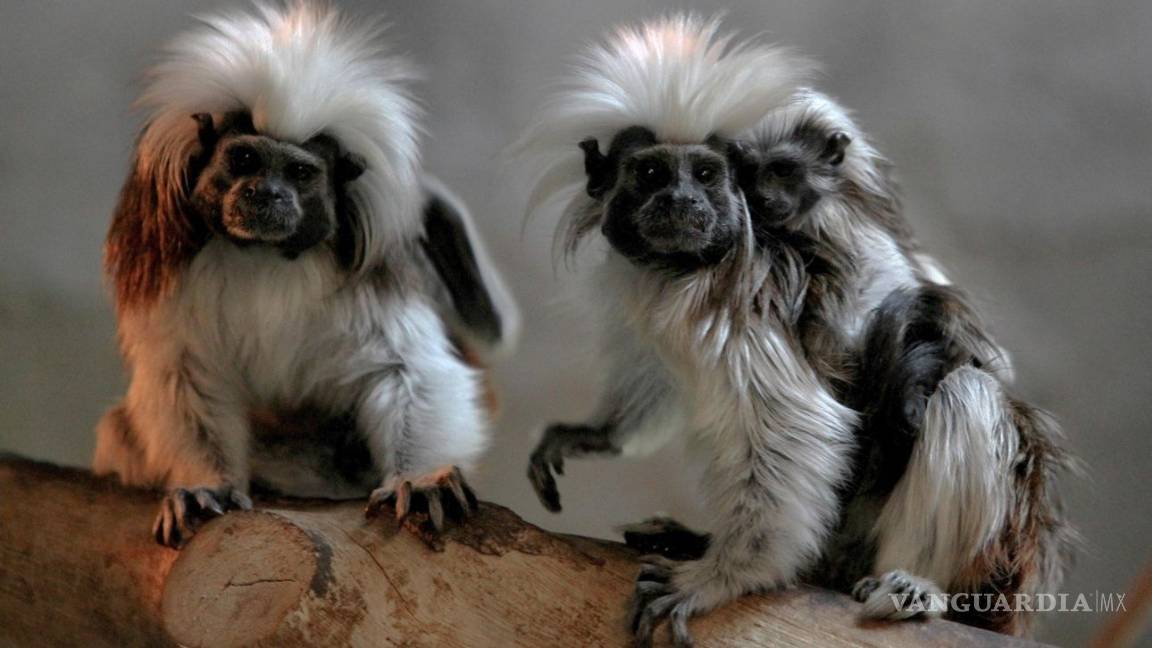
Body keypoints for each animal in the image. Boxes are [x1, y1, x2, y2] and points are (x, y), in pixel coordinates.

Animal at [93, 3, 517, 548]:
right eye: (245, 158)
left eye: (299, 172)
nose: (267, 194)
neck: (267, 255)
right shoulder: (169, 266)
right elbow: (187, 376)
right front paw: (207, 485)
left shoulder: (377, 272)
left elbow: (408, 368)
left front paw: (421, 479)